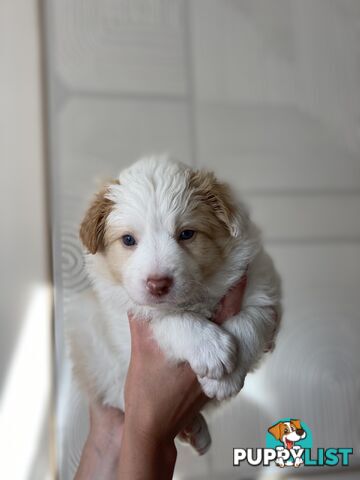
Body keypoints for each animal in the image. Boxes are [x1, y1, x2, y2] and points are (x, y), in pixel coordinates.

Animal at [67, 157, 282, 454]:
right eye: (128, 240)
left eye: (187, 234)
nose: (158, 284)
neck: (196, 297)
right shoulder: (127, 313)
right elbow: (168, 318)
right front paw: (210, 349)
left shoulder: (263, 289)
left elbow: (250, 321)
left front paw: (226, 378)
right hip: (89, 337)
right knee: (116, 392)